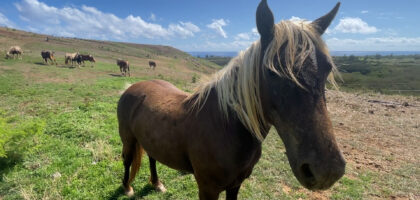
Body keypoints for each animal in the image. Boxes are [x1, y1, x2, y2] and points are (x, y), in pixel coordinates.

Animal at [117, 0, 344, 199]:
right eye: (272, 72)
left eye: (327, 68)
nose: (327, 171)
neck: (224, 125)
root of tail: (133, 87)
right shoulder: (208, 189)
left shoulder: (236, 184)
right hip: (128, 139)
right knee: (127, 160)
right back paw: (127, 188)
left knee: (152, 157)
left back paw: (156, 184)